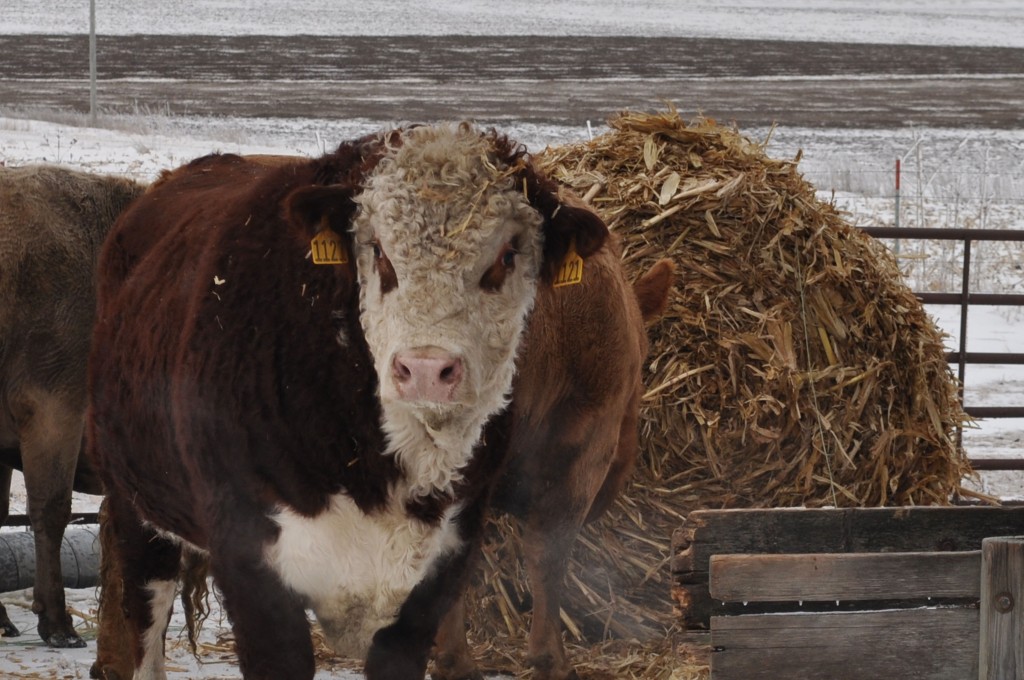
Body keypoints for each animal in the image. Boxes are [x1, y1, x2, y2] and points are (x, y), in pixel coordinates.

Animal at [86, 123, 606, 680]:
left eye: (507, 254)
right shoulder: (252, 567)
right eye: (378, 251)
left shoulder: (436, 574)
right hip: (136, 506)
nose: (426, 370)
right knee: (146, 621)